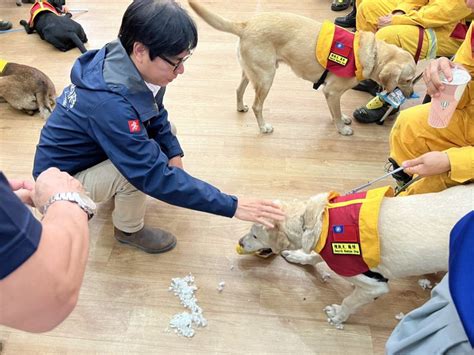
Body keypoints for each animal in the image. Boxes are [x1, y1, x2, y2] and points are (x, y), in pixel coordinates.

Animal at [187, 1, 416, 135]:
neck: (373, 54)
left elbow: (336, 111)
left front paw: (342, 120)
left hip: (251, 73)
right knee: (257, 106)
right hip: (267, 77)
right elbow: (335, 112)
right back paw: (263, 127)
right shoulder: (332, 92)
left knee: (238, 90)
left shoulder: (331, 93)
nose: (411, 94)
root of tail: (245, 24)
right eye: (407, 80)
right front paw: (341, 128)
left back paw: (240, 107)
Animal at [237, 186, 470, 328]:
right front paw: (298, 256)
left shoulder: (374, 285)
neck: (315, 220)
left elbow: (350, 300)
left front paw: (338, 314)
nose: (240, 242)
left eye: (255, 235)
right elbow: (315, 257)